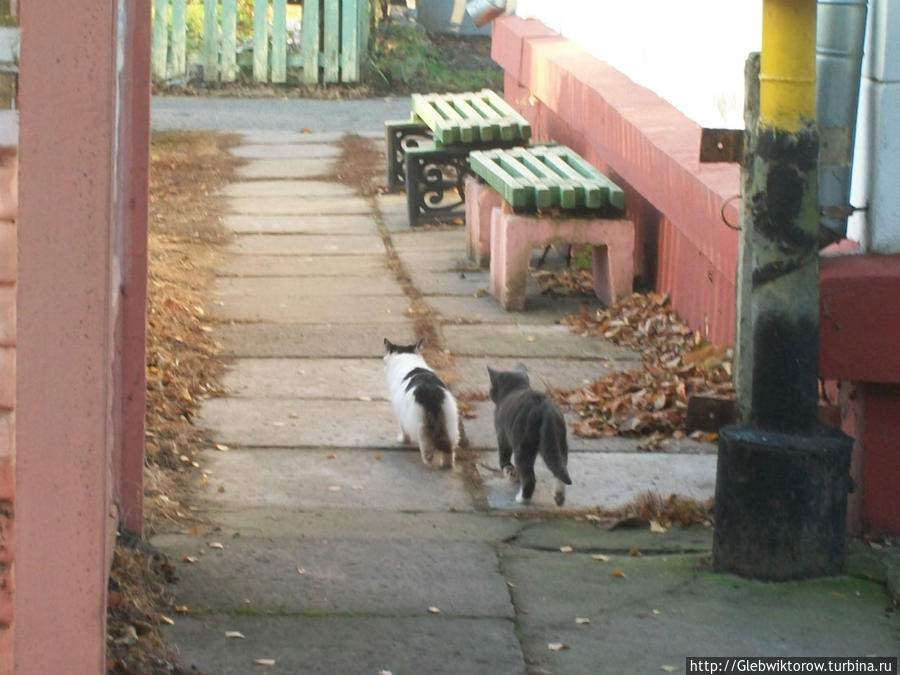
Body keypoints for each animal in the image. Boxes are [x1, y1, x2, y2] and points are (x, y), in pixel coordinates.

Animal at [384, 338, 460, 470]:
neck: (407, 359)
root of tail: (431, 393)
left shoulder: (401, 414)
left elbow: (404, 431)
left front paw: (403, 440)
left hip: (421, 425)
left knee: (427, 448)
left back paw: (428, 462)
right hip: (450, 424)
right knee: (449, 449)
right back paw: (447, 465)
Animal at [488, 364, 572, 508]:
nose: (490, 392)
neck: (515, 388)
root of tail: (544, 409)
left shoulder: (502, 435)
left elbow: (504, 459)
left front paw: (511, 474)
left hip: (523, 446)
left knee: (529, 478)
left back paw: (522, 499)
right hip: (558, 441)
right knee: (560, 467)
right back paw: (559, 496)